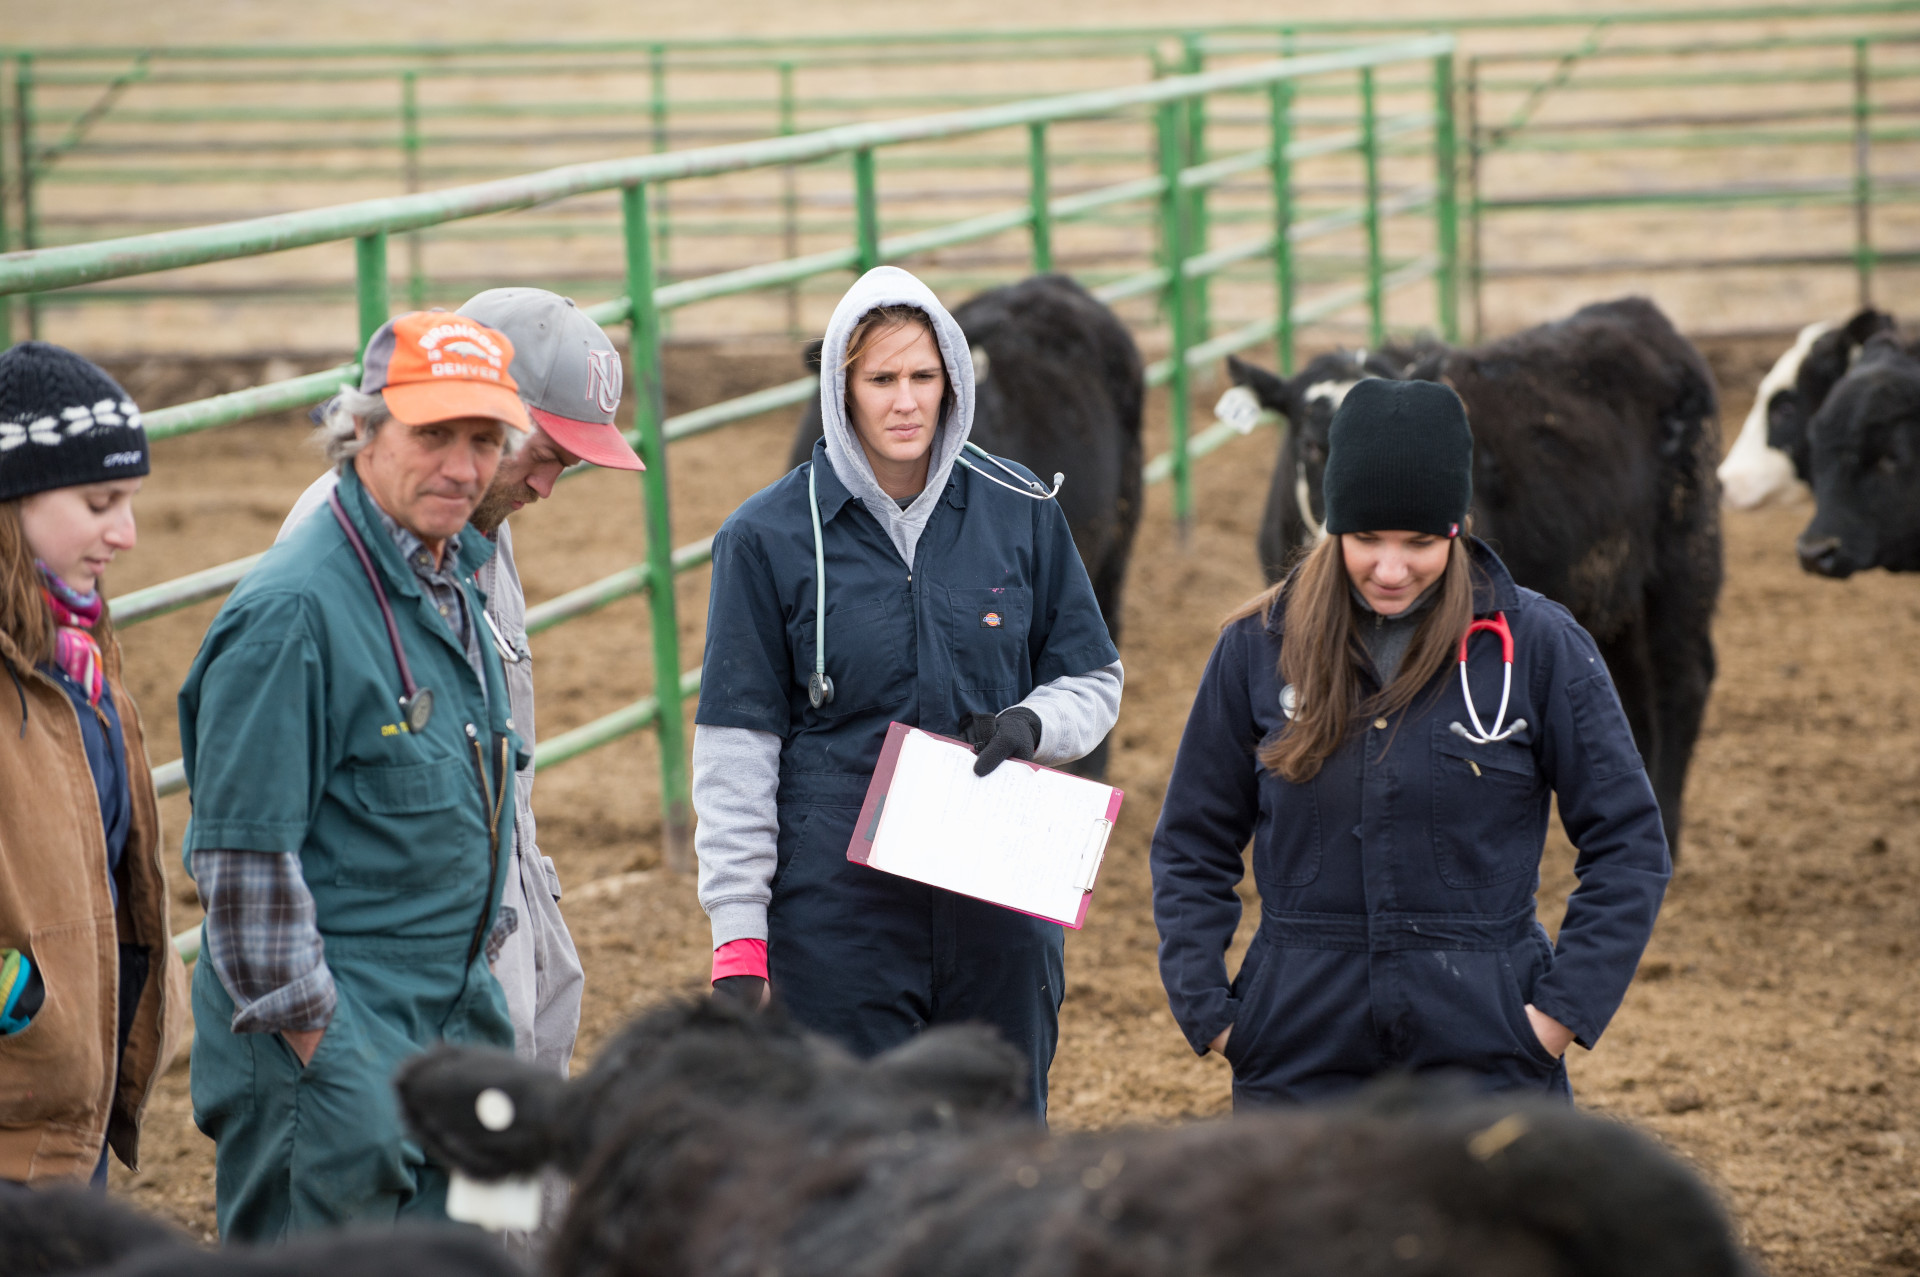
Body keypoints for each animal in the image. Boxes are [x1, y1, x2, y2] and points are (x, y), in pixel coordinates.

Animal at [1228, 297, 1728, 856]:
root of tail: (1637, 311)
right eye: (1314, 446)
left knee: (1683, 679)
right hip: (1611, 592)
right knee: (1631, 690)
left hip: (1686, 556)